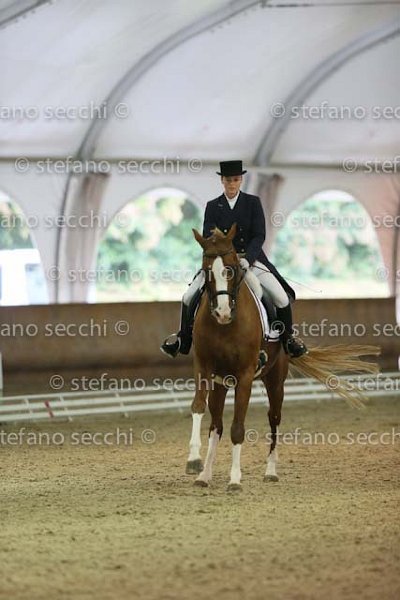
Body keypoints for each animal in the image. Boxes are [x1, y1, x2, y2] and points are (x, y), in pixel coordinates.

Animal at [185, 224, 379, 491]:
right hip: (221, 384)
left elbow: (238, 427)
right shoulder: (204, 369)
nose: (222, 313)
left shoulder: (245, 376)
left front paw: (235, 479)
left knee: (273, 419)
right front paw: (194, 461)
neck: (225, 327)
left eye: (233, 267)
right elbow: (198, 407)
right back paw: (205, 474)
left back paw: (270, 472)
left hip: (275, 381)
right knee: (216, 424)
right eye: (206, 271)